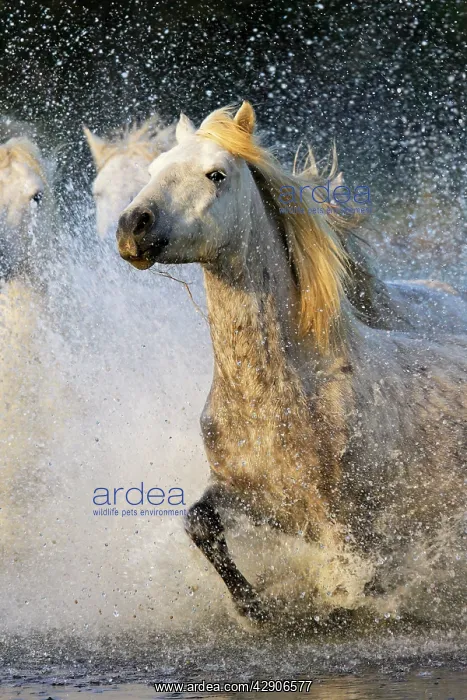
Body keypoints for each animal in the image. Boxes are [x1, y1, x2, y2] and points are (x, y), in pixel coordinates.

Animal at [115, 102, 466, 620]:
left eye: (216, 175)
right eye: (155, 169)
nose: (132, 227)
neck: (277, 398)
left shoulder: (348, 531)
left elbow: (349, 589)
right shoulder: (251, 495)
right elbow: (199, 522)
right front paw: (252, 607)